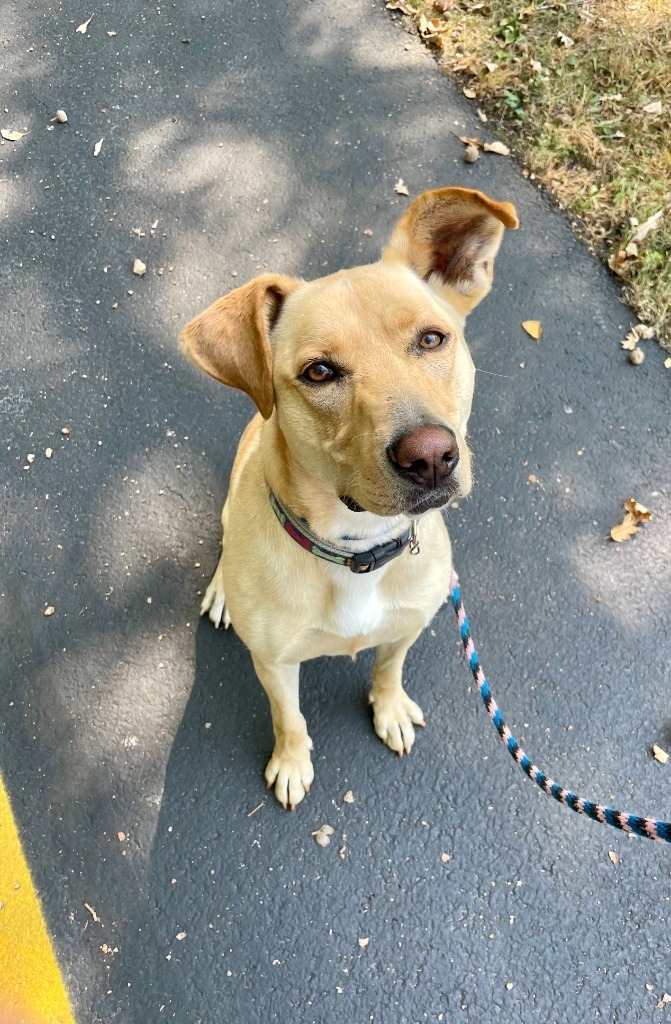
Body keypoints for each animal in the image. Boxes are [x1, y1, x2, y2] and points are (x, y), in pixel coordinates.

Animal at [180, 184, 520, 806]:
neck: (357, 548)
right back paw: (220, 592)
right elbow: (288, 717)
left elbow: (388, 668)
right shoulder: (274, 663)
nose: (431, 456)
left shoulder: (408, 626)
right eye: (319, 372)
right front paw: (292, 762)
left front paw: (389, 707)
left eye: (431, 338)